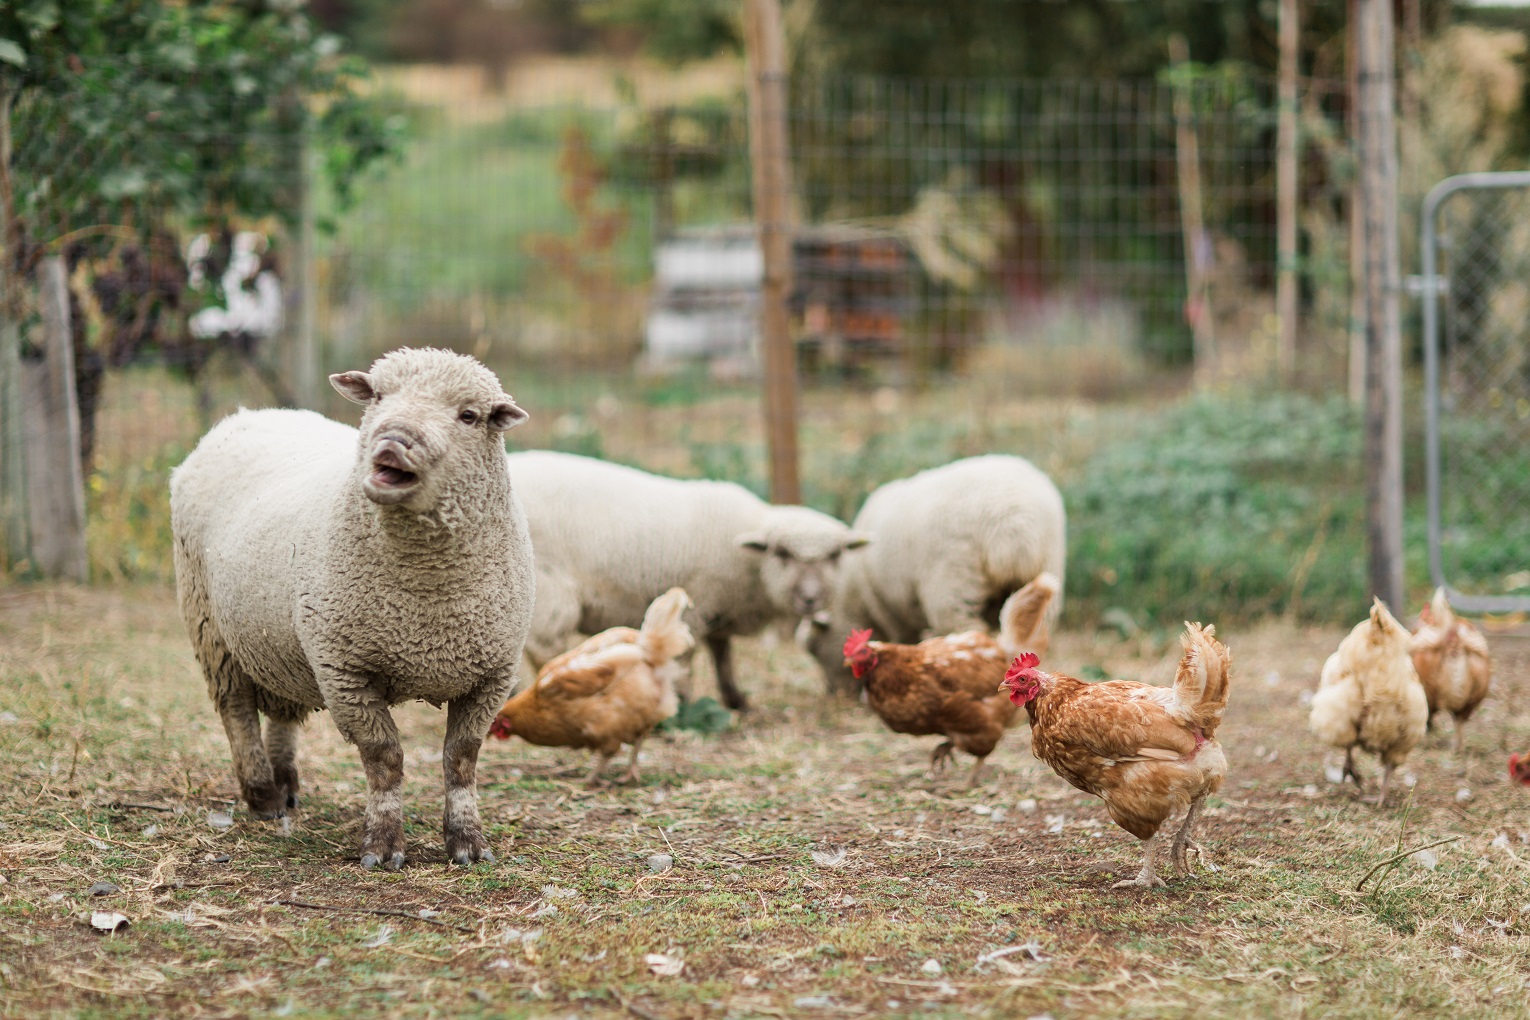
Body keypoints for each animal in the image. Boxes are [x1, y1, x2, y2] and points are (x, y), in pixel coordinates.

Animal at [169, 348, 532, 868]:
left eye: (469, 415)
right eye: (377, 396)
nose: (393, 441)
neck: (427, 601)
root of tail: (246, 415)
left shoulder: (491, 675)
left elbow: (461, 759)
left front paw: (467, 842)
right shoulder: (345, 671)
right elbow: (384, 758)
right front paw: (383, 846)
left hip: (280, 642)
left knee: (283, 708)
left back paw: (286, 783)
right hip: (210, 629)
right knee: (236, 711)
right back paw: (263, 796)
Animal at [501, 449, 862, 715]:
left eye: (835, 555)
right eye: (783, 553)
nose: (811, 599)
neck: (751, 565)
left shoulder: (718, 613)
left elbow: (723, 658)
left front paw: (737, 701)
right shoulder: (696, 606)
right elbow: (686, 662)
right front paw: (683, 706)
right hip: (546, 587)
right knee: (544, 648)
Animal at [807, 455, 1071, 691]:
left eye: (815, 648)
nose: (835, 692)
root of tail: (1014, 523)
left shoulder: (890, 612)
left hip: (952, 586)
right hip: (1045, 572)